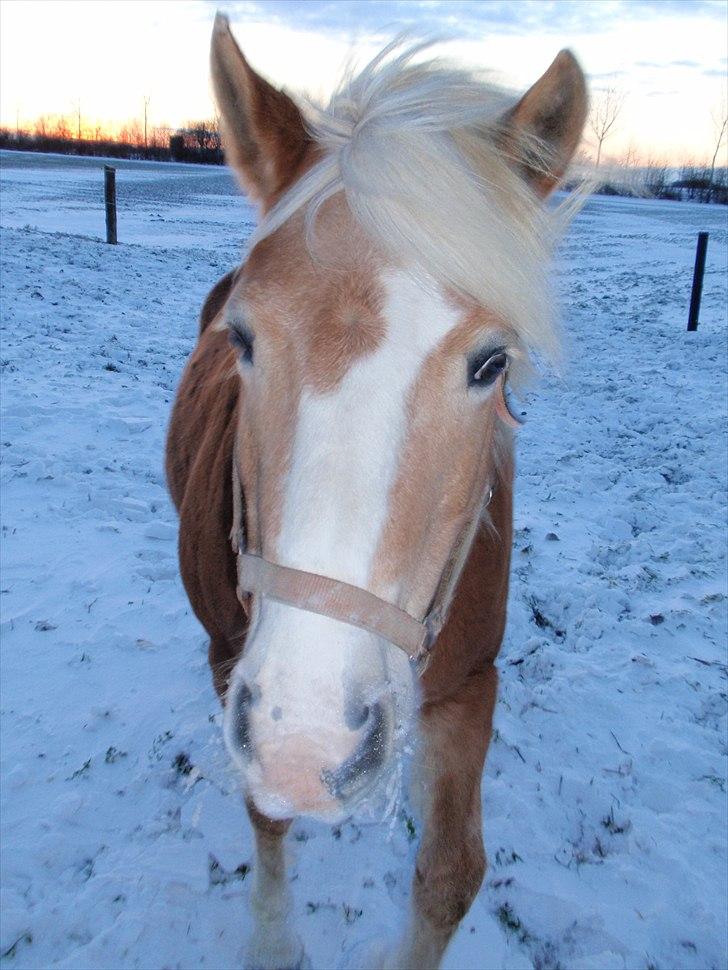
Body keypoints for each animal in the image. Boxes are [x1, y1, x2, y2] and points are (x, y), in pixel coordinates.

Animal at [165, 15, 584, 968]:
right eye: (241, 338)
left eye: (492, 363)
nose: (307, 739)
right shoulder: (231, 668)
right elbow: (265, 813)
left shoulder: (471, 685)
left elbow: (452, 874)